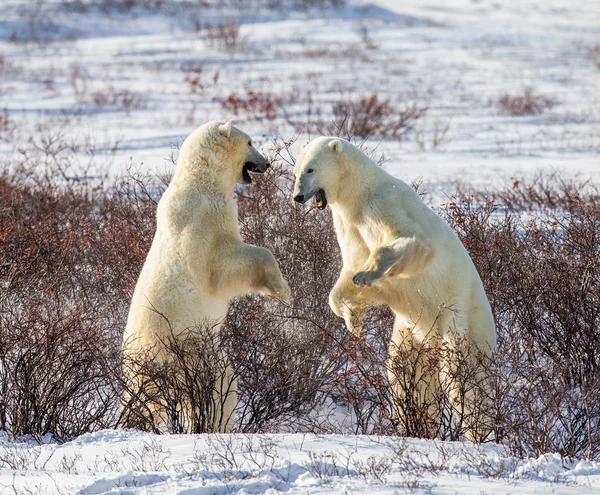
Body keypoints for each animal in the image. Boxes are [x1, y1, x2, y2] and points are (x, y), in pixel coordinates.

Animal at [122, 122, 290, 432]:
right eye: (250, 142)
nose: (267, 163)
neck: (200, 182)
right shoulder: (206, 224)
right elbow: (228, 266)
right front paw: (282, 290)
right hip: (184, 350)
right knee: (207, 389)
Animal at [292, 137, 496, 442]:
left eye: (311, 169)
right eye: (296, 171)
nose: (297, 196)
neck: (358, 192)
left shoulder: (383, 205)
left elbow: (413, 244)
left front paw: (367, 274)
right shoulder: (349, 224)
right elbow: (348, 273)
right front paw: (352, 320)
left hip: (461, 320)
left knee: (464, 379)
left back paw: (480, 432)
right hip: (410, 333)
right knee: (404, 374)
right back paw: (417, 425)